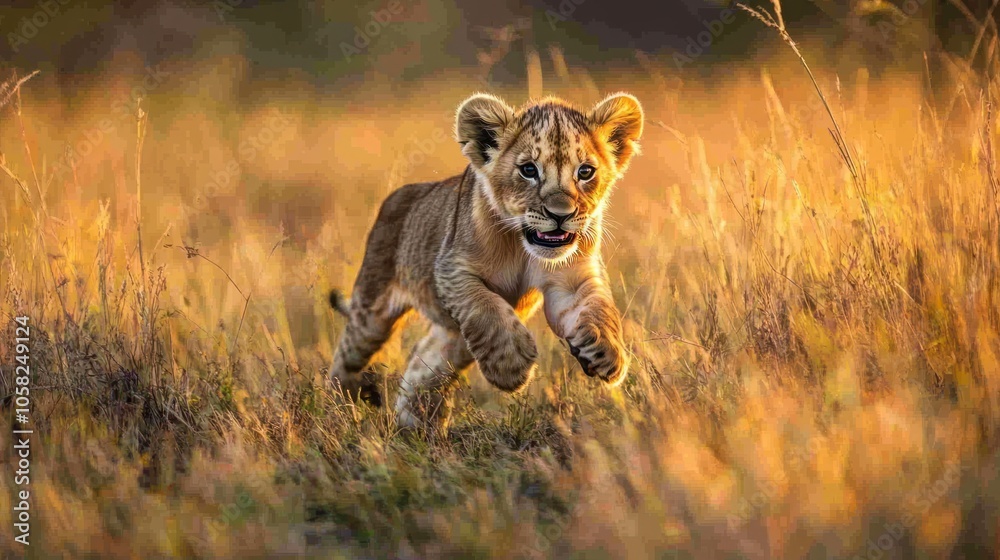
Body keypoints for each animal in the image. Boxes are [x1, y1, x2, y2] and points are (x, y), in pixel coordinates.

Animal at [328, 92, 644, 432]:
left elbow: (599, 309)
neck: (523, 247)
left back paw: (415, 424)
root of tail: (399, 196)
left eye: (585, 172)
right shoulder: (452, 269)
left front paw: (608, 354)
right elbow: (486, 309)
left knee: (427, 360)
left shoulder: (571, 280)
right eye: (528, 170)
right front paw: (511, 367)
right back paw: (342, 404)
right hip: (371, 310)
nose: (561, 215)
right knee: (348, 353)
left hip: (453, 338)